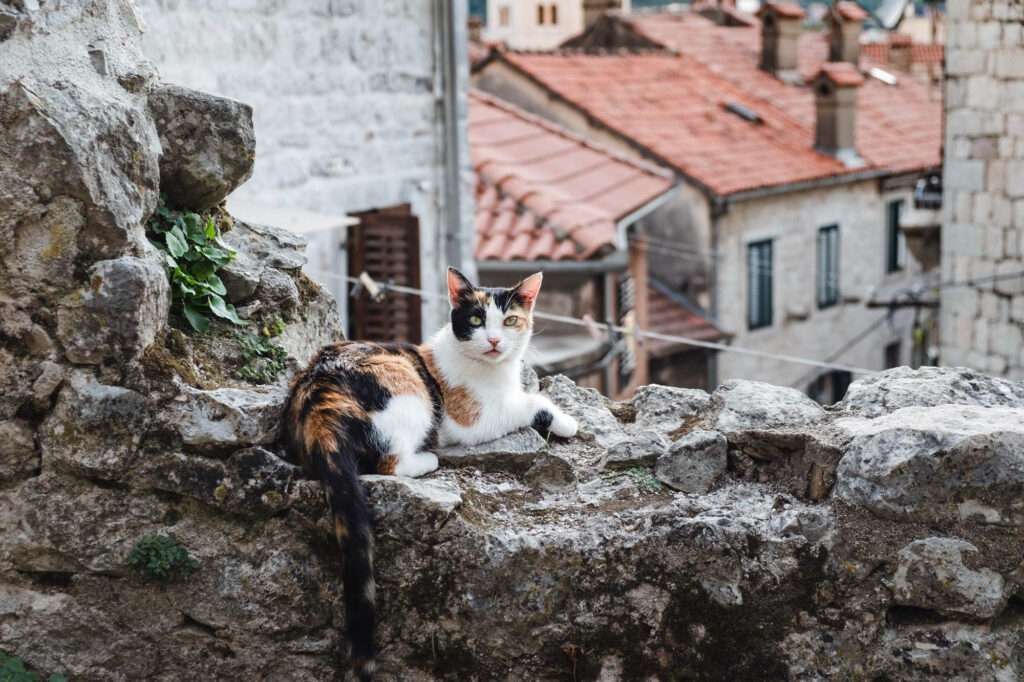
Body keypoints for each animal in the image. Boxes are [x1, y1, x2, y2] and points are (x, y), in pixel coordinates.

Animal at [282, 264, 577, 675]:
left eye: (510, 321)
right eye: (476, 320)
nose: (495, 341)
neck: (492, 370)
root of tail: (317, 399)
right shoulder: (472, 420)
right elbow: (533, 402)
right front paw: (566, 421)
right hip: (410, 392)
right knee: (390, 462)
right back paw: (428, 457)